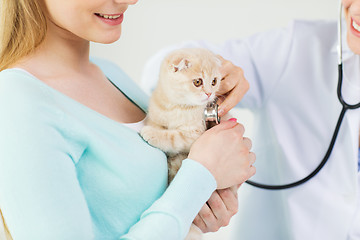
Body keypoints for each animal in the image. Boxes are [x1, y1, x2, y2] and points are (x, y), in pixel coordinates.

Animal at [141, 47, 222, 239]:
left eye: (214, 81)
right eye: (198, 82)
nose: (209, 93)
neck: (175, 107)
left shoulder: (193, 134)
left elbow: (172, 137)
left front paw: (151, 134)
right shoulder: (156, 114)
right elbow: (158, 124)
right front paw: (153, 129)